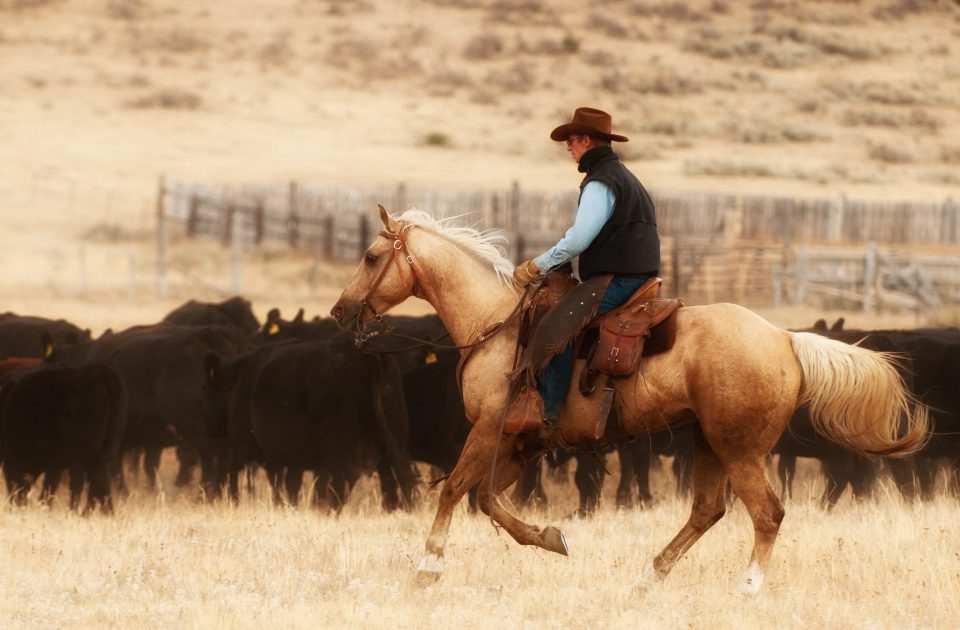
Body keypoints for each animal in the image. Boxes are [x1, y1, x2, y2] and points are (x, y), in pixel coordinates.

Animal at [326, 209, 928, 596]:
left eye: (371, 255)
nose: (339, 311)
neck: (496, 323)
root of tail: (785, 339)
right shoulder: (519, 444)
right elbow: (487, 500)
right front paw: (550, 539)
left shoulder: (491, 430)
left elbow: (454, 489)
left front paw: (428, 567)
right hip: (707, 442)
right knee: (707, 510)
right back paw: (647, 578)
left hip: (740, 450)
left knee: (767, 513)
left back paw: (748, 587)